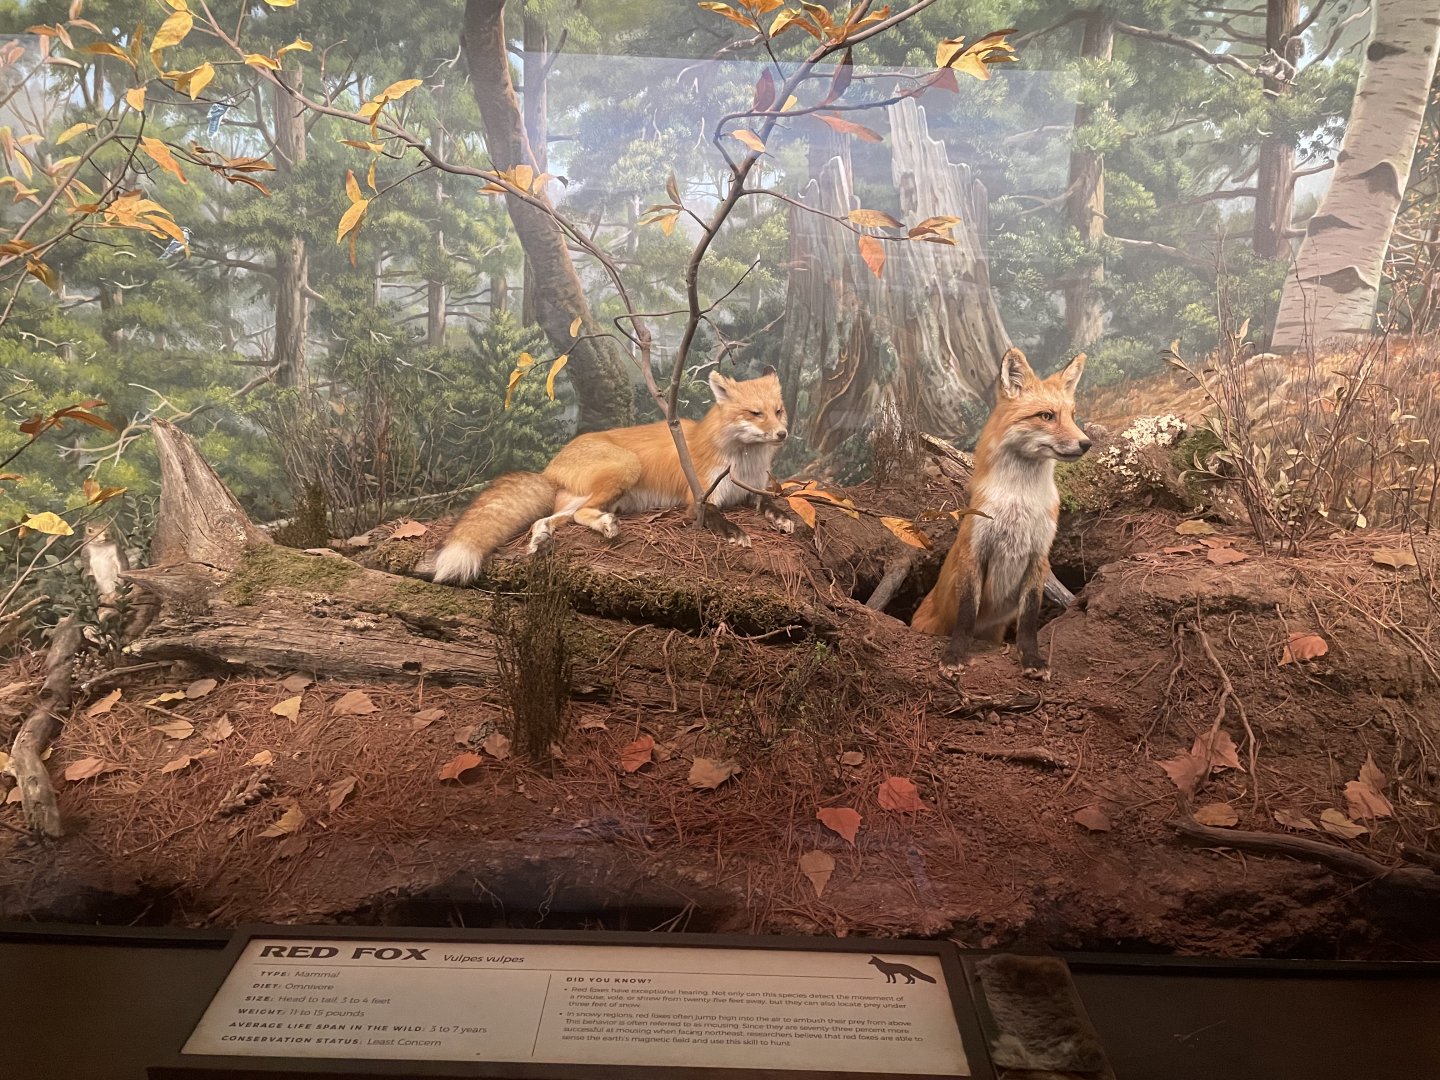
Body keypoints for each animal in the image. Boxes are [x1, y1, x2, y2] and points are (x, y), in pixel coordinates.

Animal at [431, 367, 794, 584]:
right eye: (755, 414)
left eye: (778, 411)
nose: (782, 435)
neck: (742, 463)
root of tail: (549, 467)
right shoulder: (700, 499)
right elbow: (718, 517)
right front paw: (736, 533)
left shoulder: (753, 490)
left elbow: (771, 504)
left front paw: (784, 518)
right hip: (626, 468)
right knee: (581, 514)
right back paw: (604, 527)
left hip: (596, 498)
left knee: (553, 519)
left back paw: (540, 539)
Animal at [911, 348, 1090, 681]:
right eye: (1046, 416)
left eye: (1072, 416)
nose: (1087, 443)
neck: (1019, 502)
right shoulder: (975, 550)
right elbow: (966, 615)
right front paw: (955, 655)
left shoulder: (1038, 556)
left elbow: (1029, 620)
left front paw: (1031, 659)